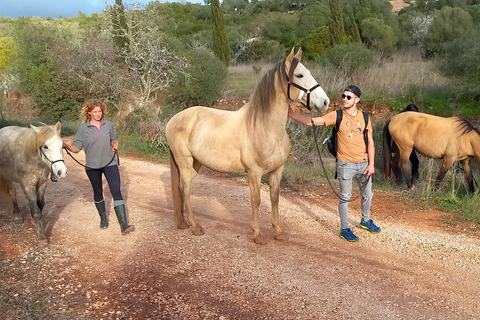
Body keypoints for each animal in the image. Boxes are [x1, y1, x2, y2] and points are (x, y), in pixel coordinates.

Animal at [165, 47, 330, 244]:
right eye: (299, 74)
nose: (325, 102)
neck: (263, 126)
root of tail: (174, 119)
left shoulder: (277, 170)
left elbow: (274, 198)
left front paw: (278, 231)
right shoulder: (254, 172)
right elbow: (256, 200)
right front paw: (257, 234)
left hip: (195, 164)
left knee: (182, 188)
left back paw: (183, 223)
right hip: (184, 162)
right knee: (185, 189)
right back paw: (195, 226)